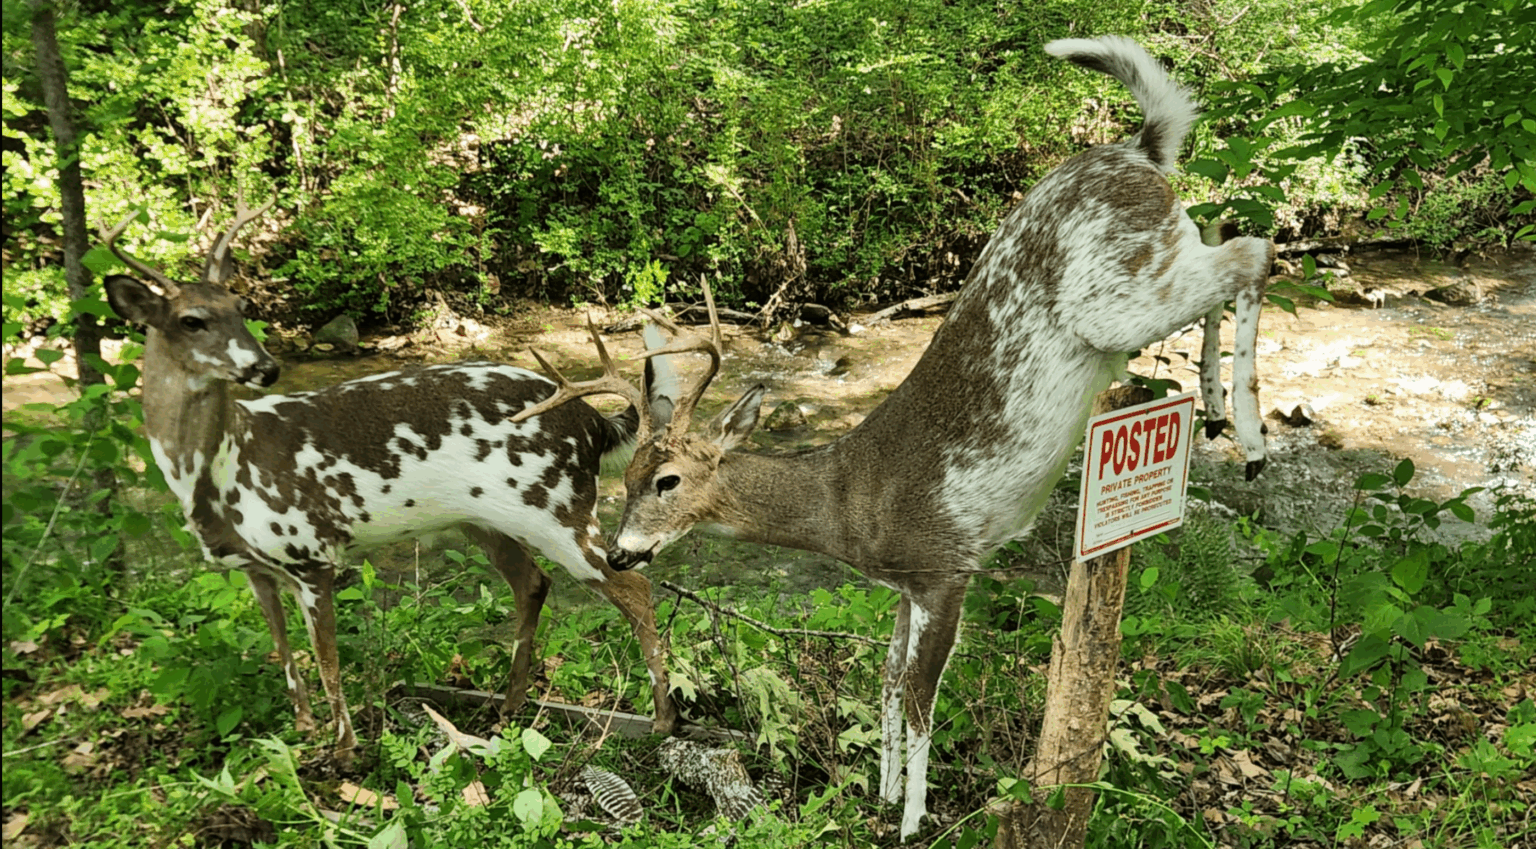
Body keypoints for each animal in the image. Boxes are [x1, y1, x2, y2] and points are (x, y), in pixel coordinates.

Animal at [100, 201, 694, 760]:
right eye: (191, 319)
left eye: (241, 309)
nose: (265, 367)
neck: (222, 469)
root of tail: (592, 421)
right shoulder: (253, 568)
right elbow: (283, 650)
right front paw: (303, 729)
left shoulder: (311, 552)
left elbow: (327, 662)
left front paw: (343, 753)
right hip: (485, 520)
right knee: (532, 583)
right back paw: (508, 707)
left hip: (558, 507)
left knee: (635, 588)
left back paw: (664, 721)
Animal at [511, 35, 1274, 840]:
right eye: (622, 480)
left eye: (668, 481)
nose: (621, 551)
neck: (850, 502)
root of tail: (1138, 148)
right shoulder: (902, 585)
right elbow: (883, 682)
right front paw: (879, 796)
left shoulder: (945, 565)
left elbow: (917, 704)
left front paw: (912, 821)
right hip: (1148, 267)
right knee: (1223, 236)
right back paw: (1214, 406)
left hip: (1114, 297)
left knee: (1252, 247)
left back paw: (1252, 439)